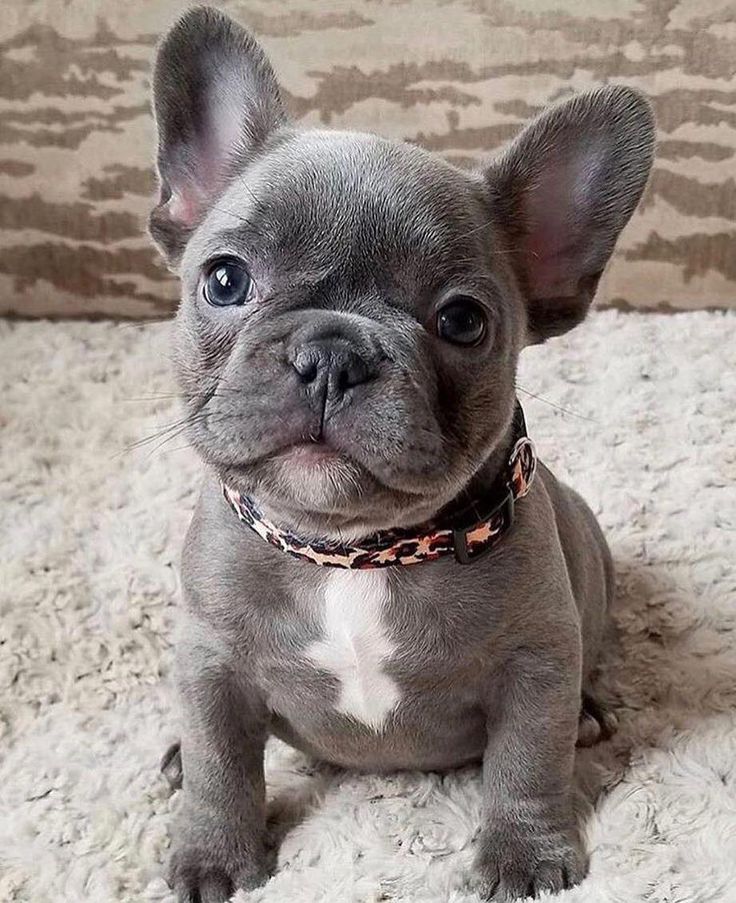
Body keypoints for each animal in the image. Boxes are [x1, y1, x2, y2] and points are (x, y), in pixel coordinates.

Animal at [150, 7, 656, 903]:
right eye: (224, 279)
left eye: (463, 321)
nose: (331, 354)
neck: (351, 553)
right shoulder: (209, 661)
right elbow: (220, 762)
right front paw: (213, 852)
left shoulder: (536, 664)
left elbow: (527, 762)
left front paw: (524, 856)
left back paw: (591, 715)